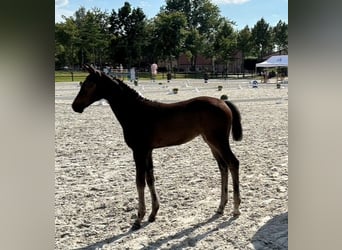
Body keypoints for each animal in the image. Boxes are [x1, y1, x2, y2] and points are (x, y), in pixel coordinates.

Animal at [72, 64, 243, 230]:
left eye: (88, 84)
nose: (75, 106)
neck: (136, 112)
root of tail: (223, 102)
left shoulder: (139, 151)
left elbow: (139, 182)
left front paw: (138, 218)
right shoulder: (148, 151)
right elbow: (150, 179)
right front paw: (153, 214)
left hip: (219, 141)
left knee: (233, 163)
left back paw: (235, 209)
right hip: (211, 142)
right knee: (223, 167)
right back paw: (220, 207)